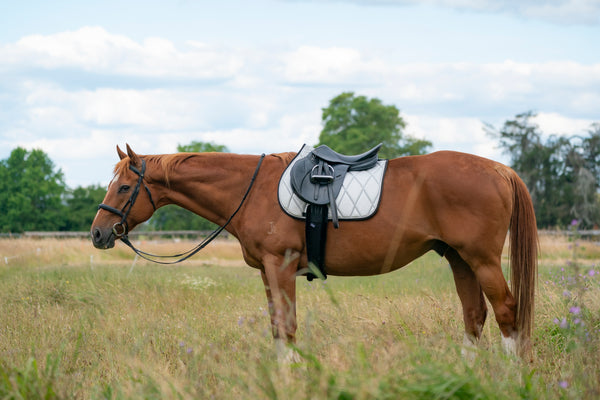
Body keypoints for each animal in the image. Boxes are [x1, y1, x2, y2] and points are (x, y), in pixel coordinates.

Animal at [92, 144, 540, 360]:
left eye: (125, 187)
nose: (98, 233)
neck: (251, 190)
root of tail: (500, 169)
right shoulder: (267, 272)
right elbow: (277, 327)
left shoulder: (282, 266)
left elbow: (287, 326)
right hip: (459, 259)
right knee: (474, 316)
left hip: (481, 260)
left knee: (506, 312)